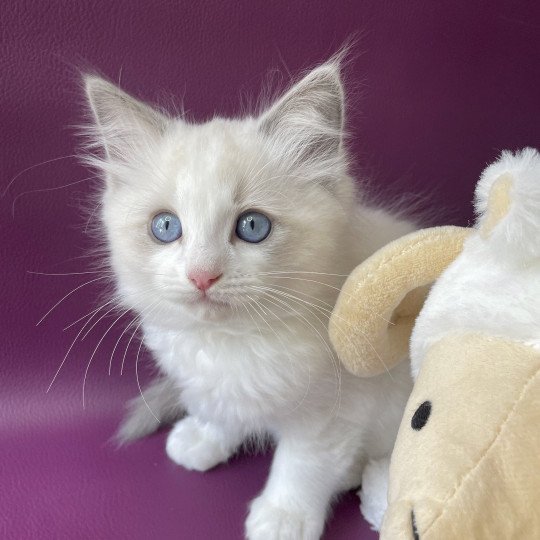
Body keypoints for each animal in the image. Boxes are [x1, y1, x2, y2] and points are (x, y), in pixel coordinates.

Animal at [84, 57, 414, 536]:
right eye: (165, 227)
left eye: (253, 226)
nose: (202, 276)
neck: (235, 341)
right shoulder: (211, 381)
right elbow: (222, 412)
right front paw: (203, 438)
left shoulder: (333, 413)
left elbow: (303, 466)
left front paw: (282, 517)